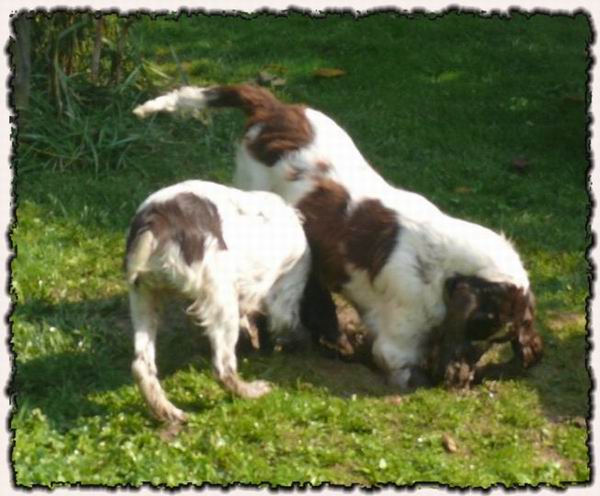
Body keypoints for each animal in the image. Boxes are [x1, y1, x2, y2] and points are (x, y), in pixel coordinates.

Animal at [125, 179, 340, 422]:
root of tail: (155, 222)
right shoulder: (285, 294)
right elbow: (291, 328)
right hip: (221, 295)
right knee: (223, 368)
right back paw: (254, 391)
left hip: (143, 297)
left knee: (141, 365)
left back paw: (168, 411)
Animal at [133, 85, 543, 391]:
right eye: (481, 325)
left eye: (498, 339)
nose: (458, 378)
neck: (443, 267)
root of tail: (274, 108)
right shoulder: (396, 345)